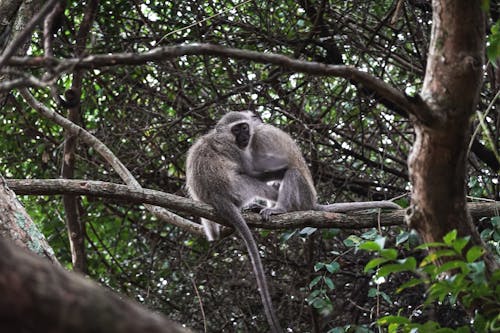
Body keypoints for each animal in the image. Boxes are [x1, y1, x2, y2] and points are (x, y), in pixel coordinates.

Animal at [185, 115, 286, 332]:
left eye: (245, 127)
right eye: (237, 129)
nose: (245, 136)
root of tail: (217, 196)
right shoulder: (233, 150)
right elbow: (251, 171)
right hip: (238, 188)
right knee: (250, 179)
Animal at [218, 111, 402, 220]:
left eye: (244, 127)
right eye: (236, 130)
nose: (243, 137)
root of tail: (312, 202)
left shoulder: (263, 140)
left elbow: (284, 163)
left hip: (303, 196)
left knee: (292, 172)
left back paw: (281, 208)